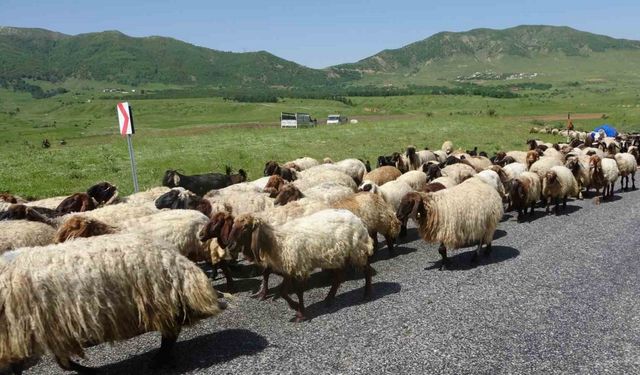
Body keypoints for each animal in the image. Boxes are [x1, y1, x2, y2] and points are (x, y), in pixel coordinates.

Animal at [225, 210, 376, 322]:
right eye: (233, 224)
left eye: (245, 227)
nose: (229, 245)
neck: (277, 241)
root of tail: (356, 217)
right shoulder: (289, 269)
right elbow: (282, 292)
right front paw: (295, 307)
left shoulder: (298, 267)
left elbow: (298, 292)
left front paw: (301, 313)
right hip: (336, 257)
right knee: (338, 278)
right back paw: (329, 298)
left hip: (357, 251)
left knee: (367, 271)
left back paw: (367, 294)